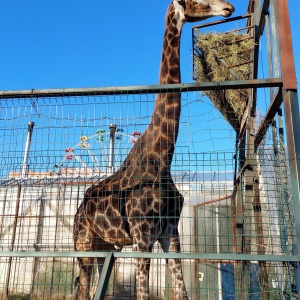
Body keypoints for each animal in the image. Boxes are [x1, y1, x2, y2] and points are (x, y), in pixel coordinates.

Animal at [73, 1, 234, 298]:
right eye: (196, 0)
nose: (228, 7)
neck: (162, 157)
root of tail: (80, 208)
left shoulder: (170, 231)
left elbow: (182, 291)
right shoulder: (142, 235)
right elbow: (143, 293)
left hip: (105, 247)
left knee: (93, 286)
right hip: (83, 242)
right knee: (82, 288)